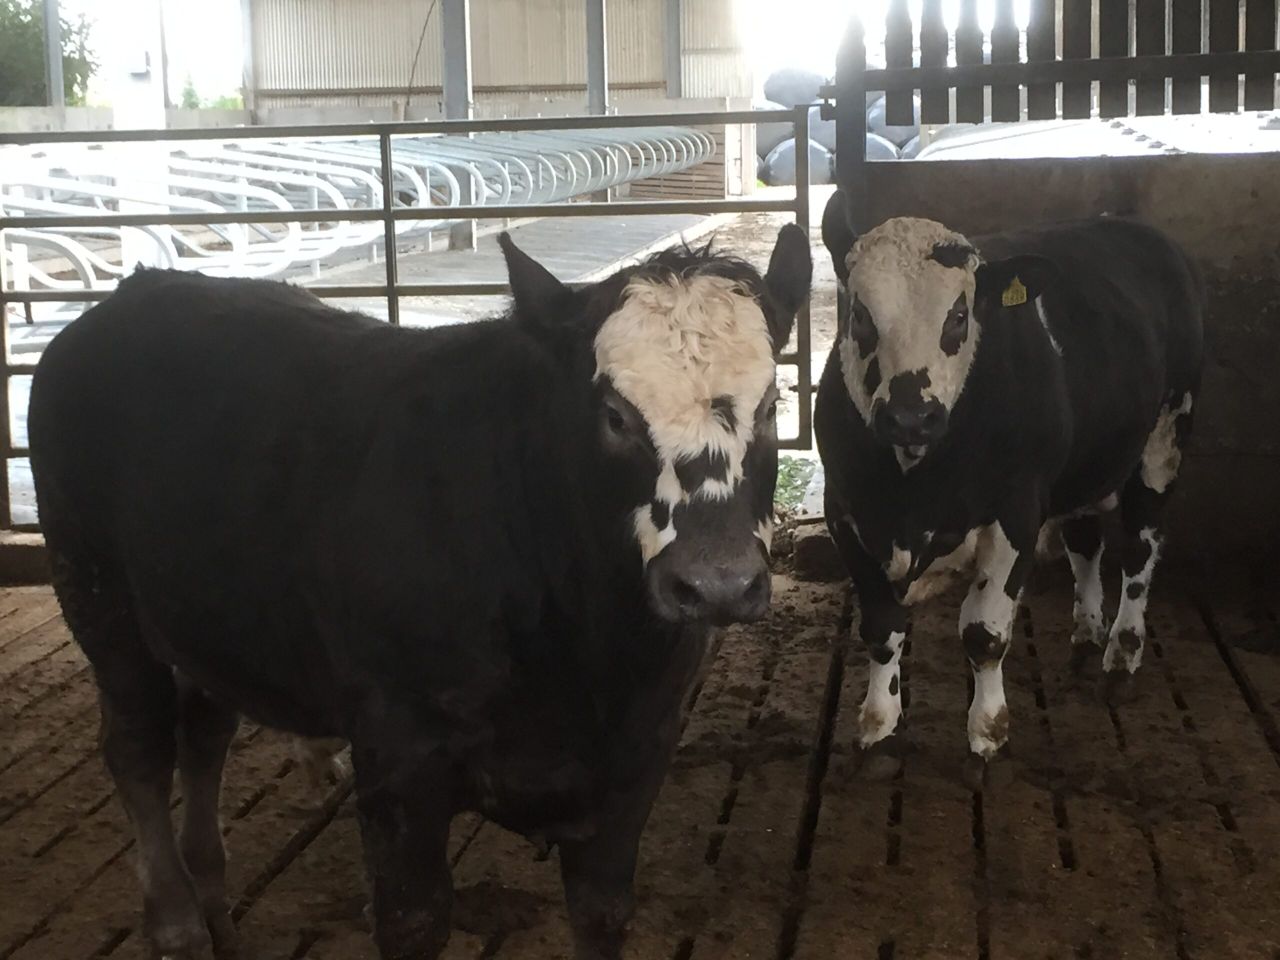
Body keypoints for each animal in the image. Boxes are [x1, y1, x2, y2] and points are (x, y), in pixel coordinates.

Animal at [28, 226, 812, 960]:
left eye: (772, 405)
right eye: (615, 415)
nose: (716, 581)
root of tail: (134, 293)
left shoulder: (637, 758)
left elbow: (600, 915)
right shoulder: (396, 763)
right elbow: (414, 921)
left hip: (204, 622)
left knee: (203, 733)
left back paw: (214, 900)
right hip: (94, 593)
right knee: (138, 746)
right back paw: (178, 923)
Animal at [817, 191, 1203, 787]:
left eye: (959, 316)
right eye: (859, 314)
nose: (910, 417)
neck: (912, 485)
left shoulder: (1016, 512)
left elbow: (984, 632)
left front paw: (986, 736)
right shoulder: (847, 512)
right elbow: (882, 626)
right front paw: (879, 731)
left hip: (1165, 438)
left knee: (1139, 551)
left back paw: (1121, 657)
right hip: (1082, 467)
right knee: (1086, 544)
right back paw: (1086, 637)